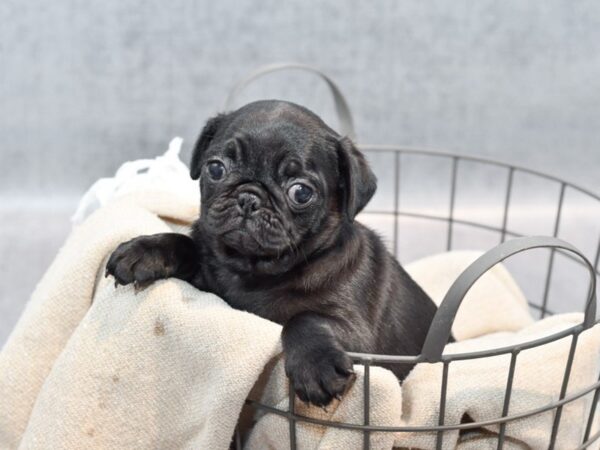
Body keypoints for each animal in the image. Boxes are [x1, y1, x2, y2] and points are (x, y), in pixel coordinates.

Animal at [106, 99, 436, 408]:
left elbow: (305, 318)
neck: (251, 269)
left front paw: (316, 367)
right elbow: (185, 244)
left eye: (301, 192)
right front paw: (144, 250)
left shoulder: (358, 337)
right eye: (216, 168)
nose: (249, 198)